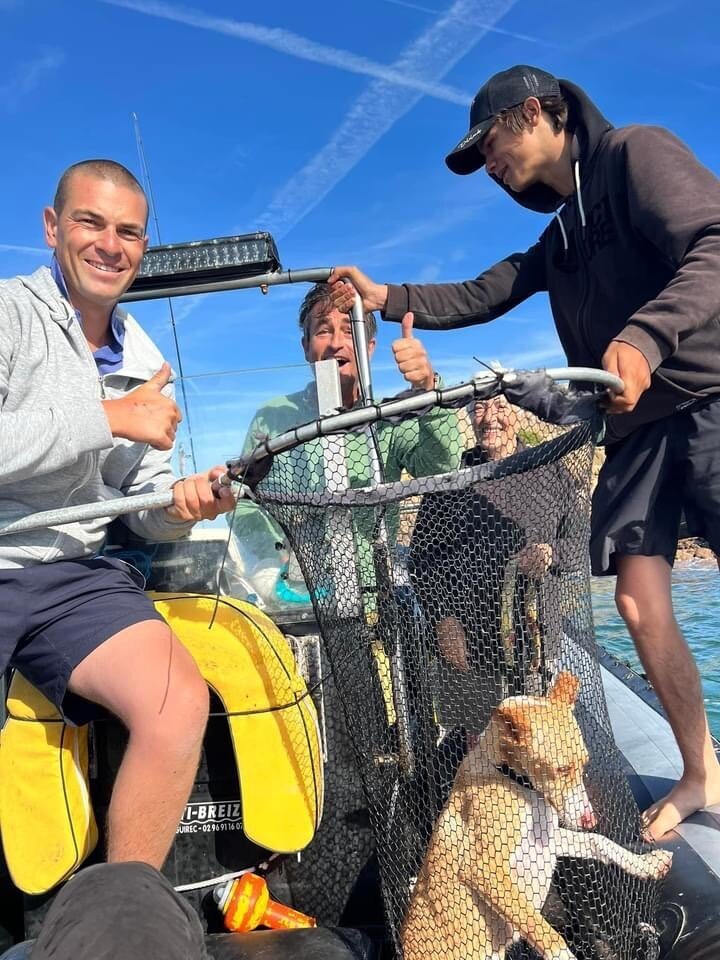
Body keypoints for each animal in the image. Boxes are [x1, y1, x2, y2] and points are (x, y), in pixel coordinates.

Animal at [400, 672, 668, 956]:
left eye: (584, 763)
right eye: (561, 769)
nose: (590, 820)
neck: (514, 780)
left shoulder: (547, 842)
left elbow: (599, 842)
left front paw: (646, 864)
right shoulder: (483, 868)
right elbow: (540, 928)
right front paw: (564, 955)